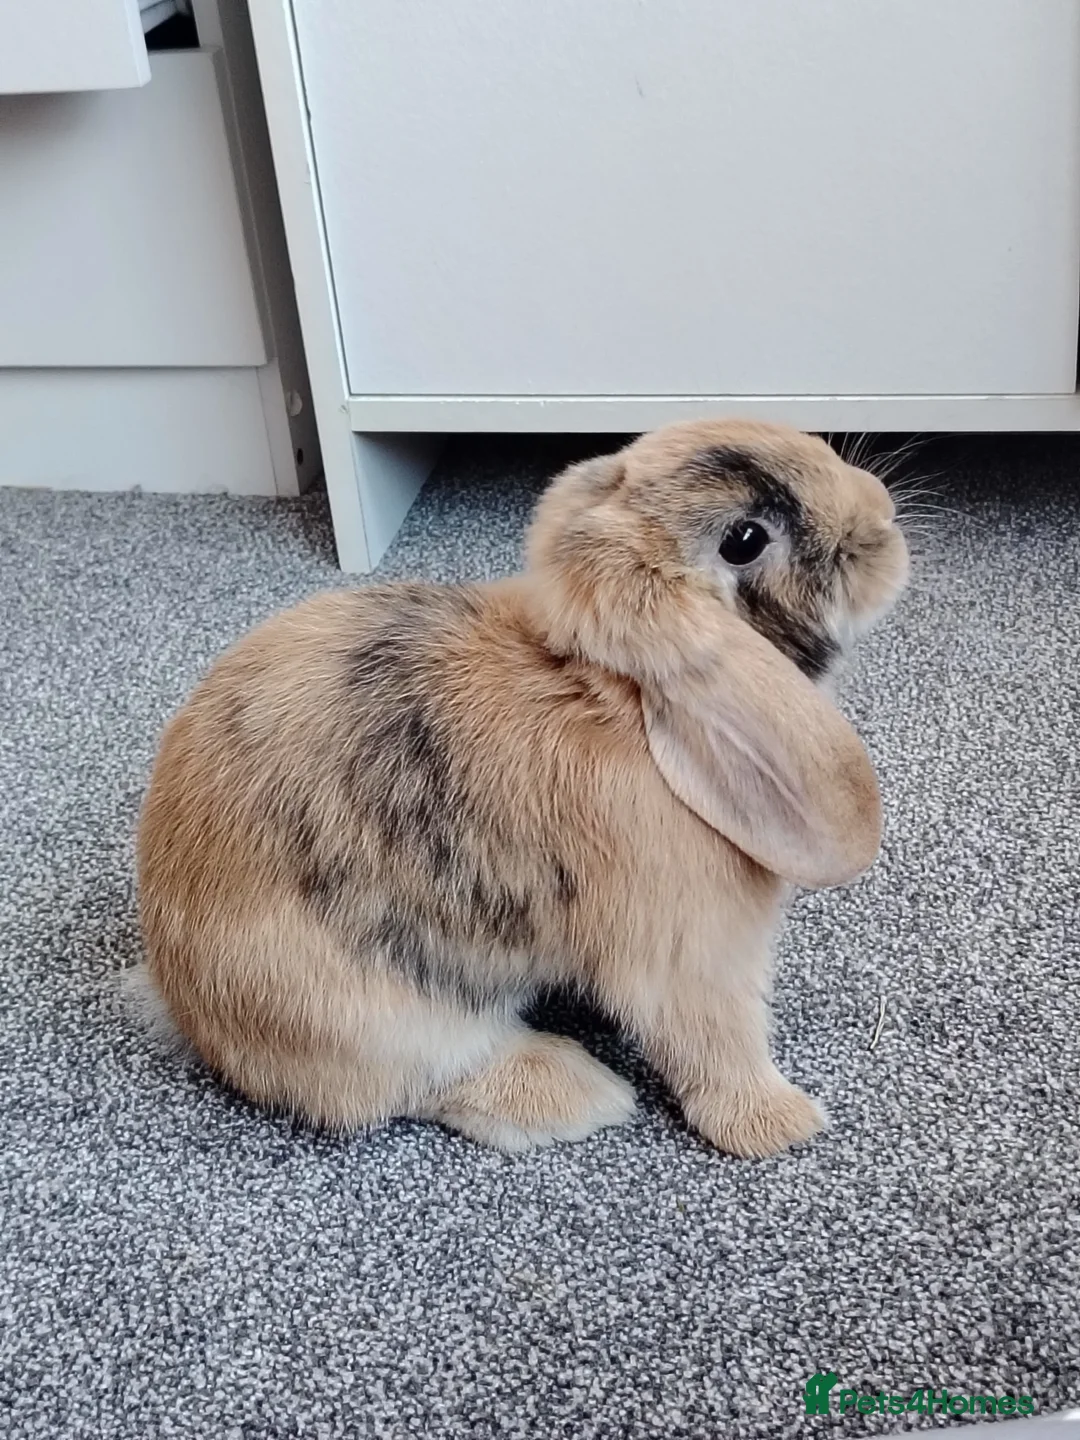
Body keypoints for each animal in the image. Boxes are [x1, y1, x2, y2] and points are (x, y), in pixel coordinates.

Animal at [135, 419, 908, 1157]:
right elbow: (717, 1040)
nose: (883, 515)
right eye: (744, 540)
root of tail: (185, 1002)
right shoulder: (693, 953)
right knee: (431, 1080)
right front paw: (781, 1125)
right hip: (370, 1016)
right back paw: (583, 1092)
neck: (621, 697)